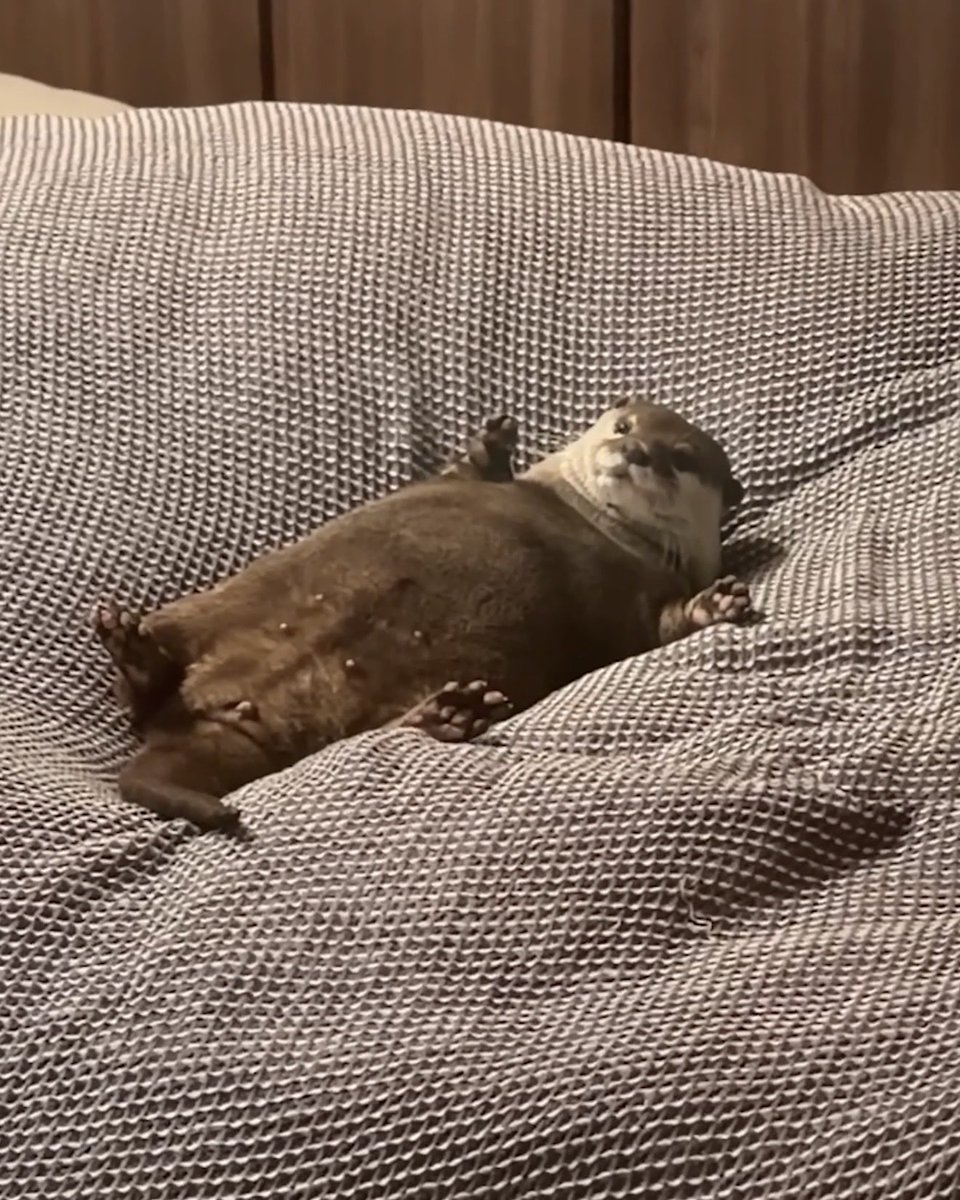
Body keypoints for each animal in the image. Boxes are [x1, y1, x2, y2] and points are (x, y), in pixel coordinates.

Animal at [93, 401, 751, 832]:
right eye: (623, 426)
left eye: (680, 457)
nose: (633, 451)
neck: (590, 518)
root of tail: (209, 714)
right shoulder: (482, 486)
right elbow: (465, 472)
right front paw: (493, 440)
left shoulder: (637, 603)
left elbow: (656, 626)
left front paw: (716, 604)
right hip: (203, 610)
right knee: (141, 696)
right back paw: (133, 648)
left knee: (371, 735)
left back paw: (449, 715)